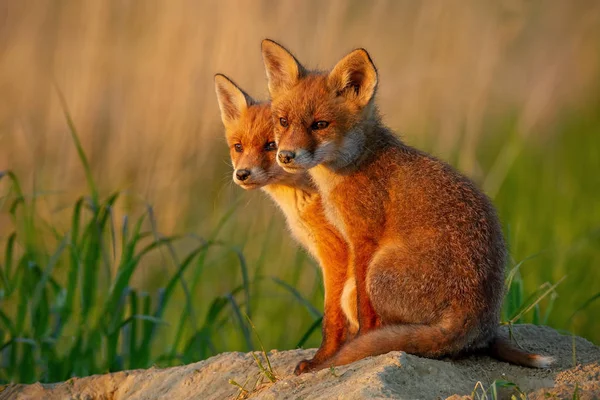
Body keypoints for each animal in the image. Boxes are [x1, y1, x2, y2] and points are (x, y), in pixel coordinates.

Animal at [214, 74, 358, 372]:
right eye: (238, 146)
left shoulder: (336, 253)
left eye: (271, 145)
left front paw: (325, 358)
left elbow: (333, 315)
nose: (242, 174)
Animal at [260, 40, 556, 372]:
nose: (285, 156)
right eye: (283, 121)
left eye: (320, 125)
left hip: (378, 272)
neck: (354, 164)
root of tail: (476, 319)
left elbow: (363, 313)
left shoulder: (363, 239)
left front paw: (345, 350)